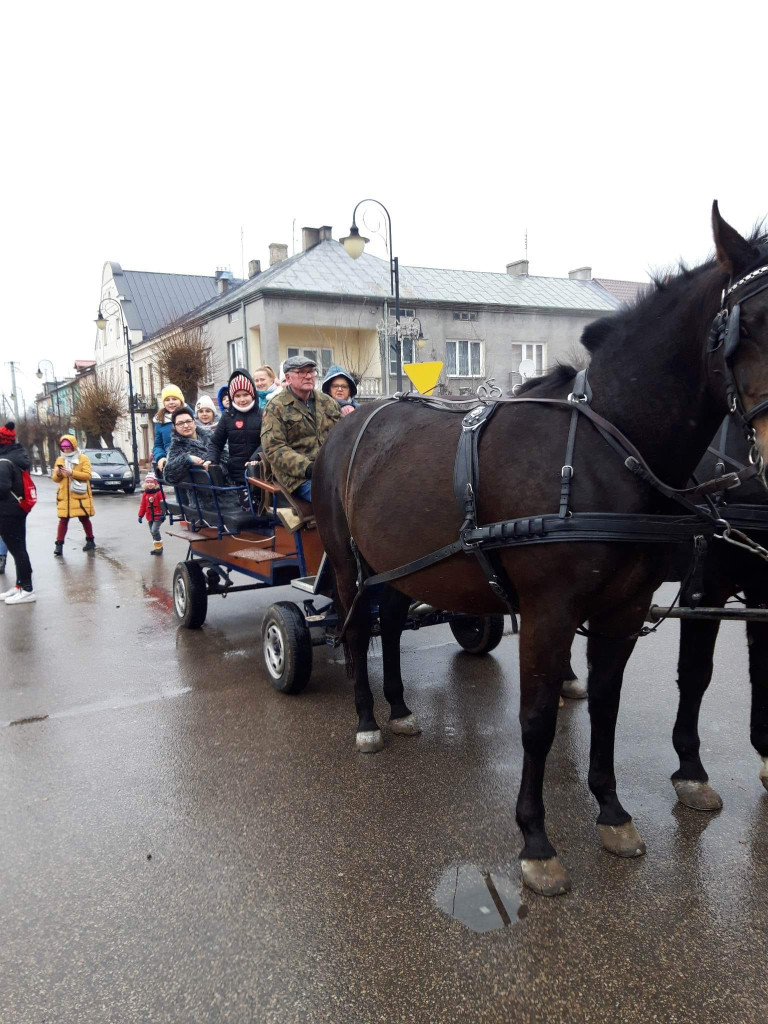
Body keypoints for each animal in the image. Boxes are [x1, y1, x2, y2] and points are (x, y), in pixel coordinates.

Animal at [315, 207, 768, 897]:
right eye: (754, 322)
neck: (610, 446)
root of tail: (350, 418)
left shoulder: (625, 607)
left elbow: (606, 703)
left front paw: (612, 812)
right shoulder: (553, 610)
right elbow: (535, 719)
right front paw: (536, 840)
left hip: (403, 564)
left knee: (389, 624)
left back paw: (397, 706)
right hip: (348, 563)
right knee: (356, 629)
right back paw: (367, 719)